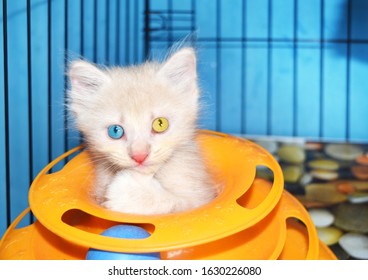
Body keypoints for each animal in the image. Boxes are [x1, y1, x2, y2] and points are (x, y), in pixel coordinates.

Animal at [68, 47, 217, 214]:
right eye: (115, 131)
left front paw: (128, 192)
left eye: (160, 124)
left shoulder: (201, 199)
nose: (139, 156)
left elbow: (178, 202)